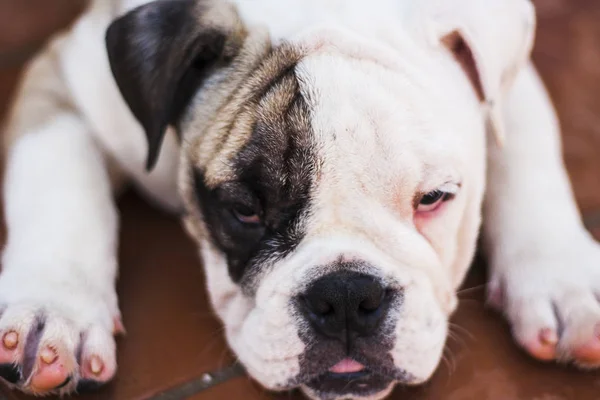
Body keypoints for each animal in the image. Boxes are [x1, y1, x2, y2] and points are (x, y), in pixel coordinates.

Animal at [1, 0, 600, 398]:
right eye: (244, 209)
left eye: (434, 198)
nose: (346, 296)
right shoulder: (70, 84)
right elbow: (57, 184)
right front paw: (53, 311)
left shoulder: (507, 83)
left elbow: (528, 160)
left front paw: (564, 282)